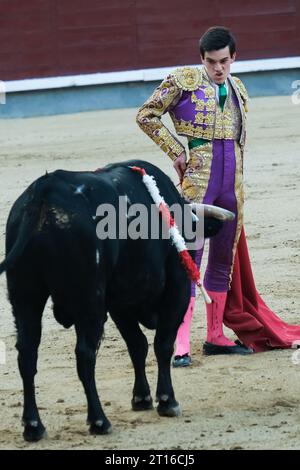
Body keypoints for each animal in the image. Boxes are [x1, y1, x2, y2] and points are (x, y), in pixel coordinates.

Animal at [0, 161, 223, 440]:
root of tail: (42, 194)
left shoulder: (120, 305)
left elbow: (137, 345)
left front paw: (141, 398)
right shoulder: (177, 291)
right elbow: (162, 345)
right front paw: (167, 401)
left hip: (25, 297)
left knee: (27, 354)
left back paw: (33, 426)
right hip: (89, 301)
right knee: (85, 355)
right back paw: (99, 421)